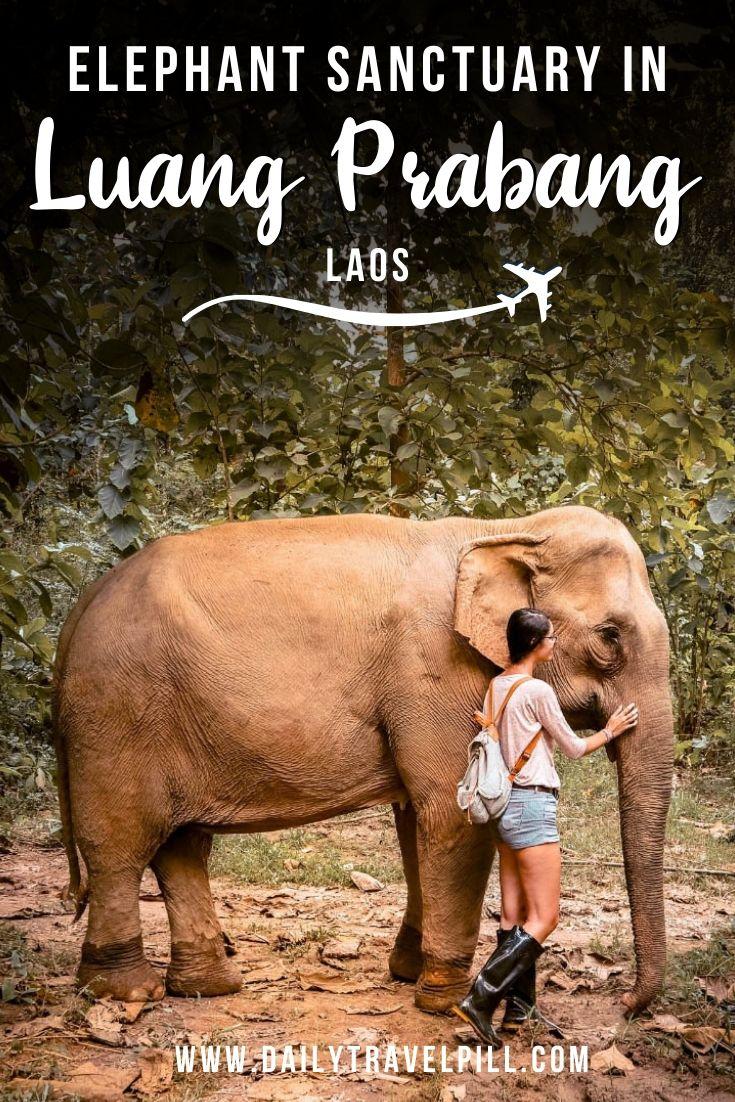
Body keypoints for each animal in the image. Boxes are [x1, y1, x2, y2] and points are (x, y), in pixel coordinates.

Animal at [53, 504, 673, 1012]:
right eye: (610, 637)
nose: (626, 1005)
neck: (504, 530)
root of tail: (82, 604)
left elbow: (415, 822)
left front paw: (407, 971)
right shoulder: (439, 671)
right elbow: (451, 816)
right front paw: (442, 1000)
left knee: (180, 846)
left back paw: (208, 988)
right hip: (117, 712)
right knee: (121, 844)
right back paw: (126, 991)